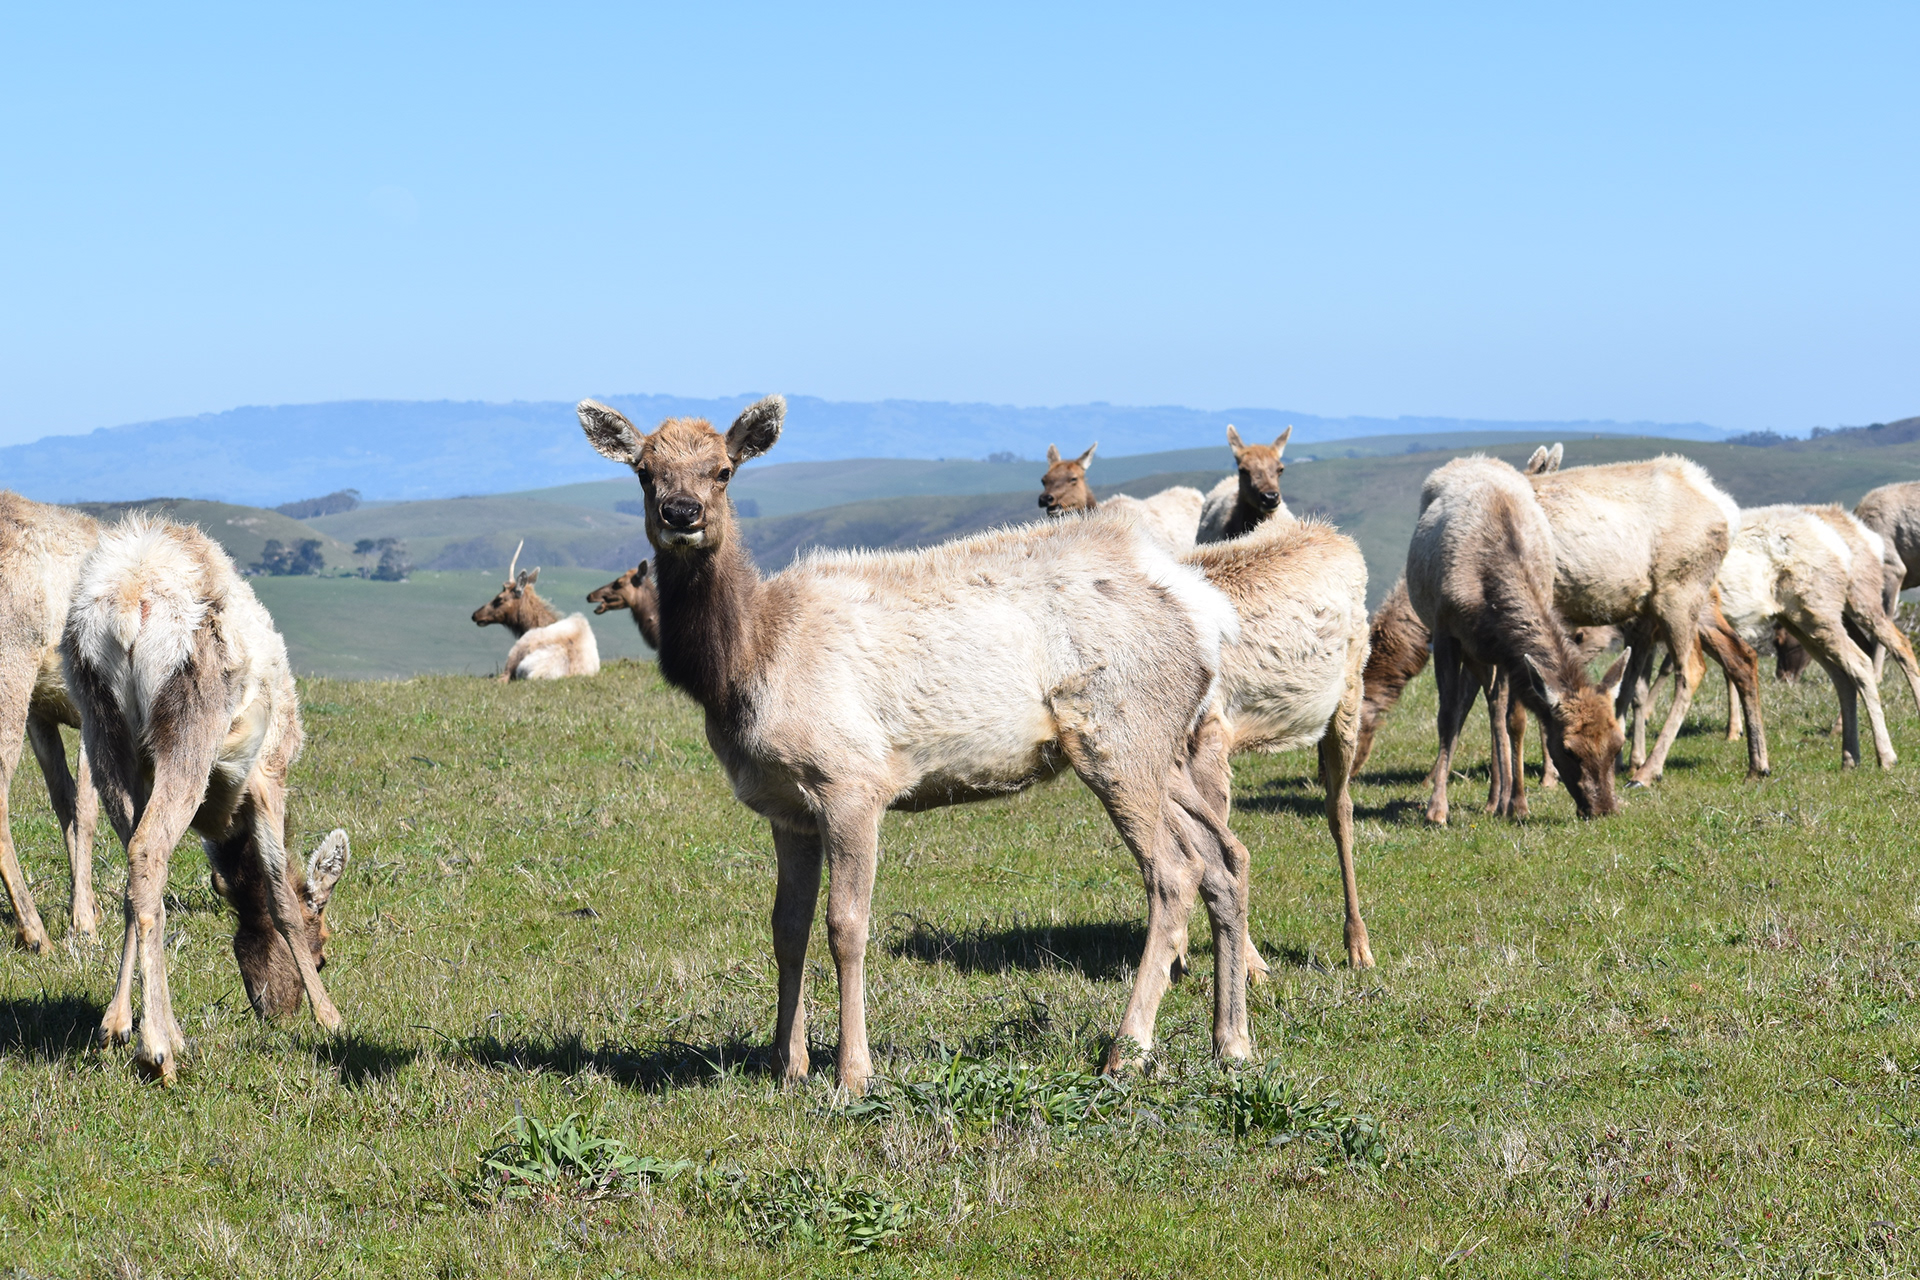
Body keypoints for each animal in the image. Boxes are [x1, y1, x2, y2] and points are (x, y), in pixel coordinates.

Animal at [62, 515, 350, 1081]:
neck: (226, 824)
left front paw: (118, 1026)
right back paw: (158, 1050)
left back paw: (126, 1027)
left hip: (103, 725)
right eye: (323, 949)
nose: (278, 1013)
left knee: (136, 866)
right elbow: (282, 897)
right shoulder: (267, 777)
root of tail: (130, 604)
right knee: (148, 849)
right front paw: (331, 1018)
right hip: (189, 719)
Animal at [1406, 456, 1627, 825]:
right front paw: (1436, 810)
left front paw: (1518, 804)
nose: (1604, 809)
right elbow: (1447, 716)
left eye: (1618, 743)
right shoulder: (1444, 630)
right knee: (1484, 704)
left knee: (1496, 707)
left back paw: (1497, 798)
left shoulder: (1510, 653)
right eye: (1568, 749)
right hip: (1474, 649)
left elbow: (1516, 722)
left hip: (1490, 654)